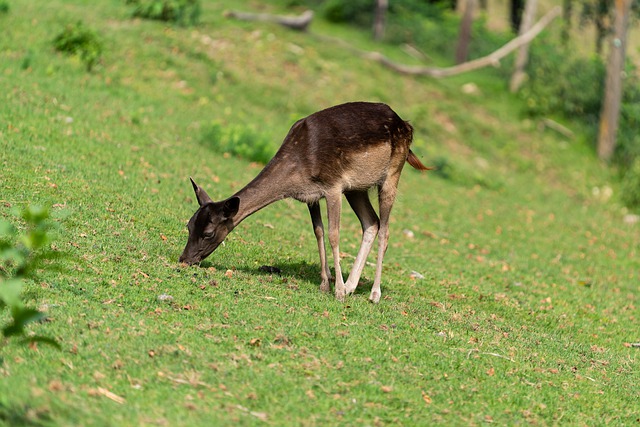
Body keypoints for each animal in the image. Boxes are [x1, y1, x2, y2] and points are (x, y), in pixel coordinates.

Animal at [179, 102, 428, 303]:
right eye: (189, 225)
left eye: (209, 233)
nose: (184, 259)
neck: (298, 170)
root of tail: (407, 125)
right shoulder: (311, 196)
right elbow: (318, 231)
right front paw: (326, 284)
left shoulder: (333, 186)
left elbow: (334, 235)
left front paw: (337, 291)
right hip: (357, 188)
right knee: (371, 222)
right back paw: (351, 286)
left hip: (392, 173)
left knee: (385, 229)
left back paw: (373, 294)